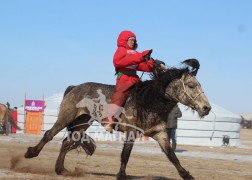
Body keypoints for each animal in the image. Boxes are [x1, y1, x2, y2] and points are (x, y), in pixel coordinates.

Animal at [25, 59, 211, 180]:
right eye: (191, 85)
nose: (206, 108)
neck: (149, 100)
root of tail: (74, 87)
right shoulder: (131, 132)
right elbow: (125, 155)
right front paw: (121, 175)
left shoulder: (160, 133)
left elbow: (172, 155)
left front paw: (186, 175)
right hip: (66, 117)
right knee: (49, 134)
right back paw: (31, 153)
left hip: (82, 123)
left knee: (66, 142)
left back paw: (61, 169)